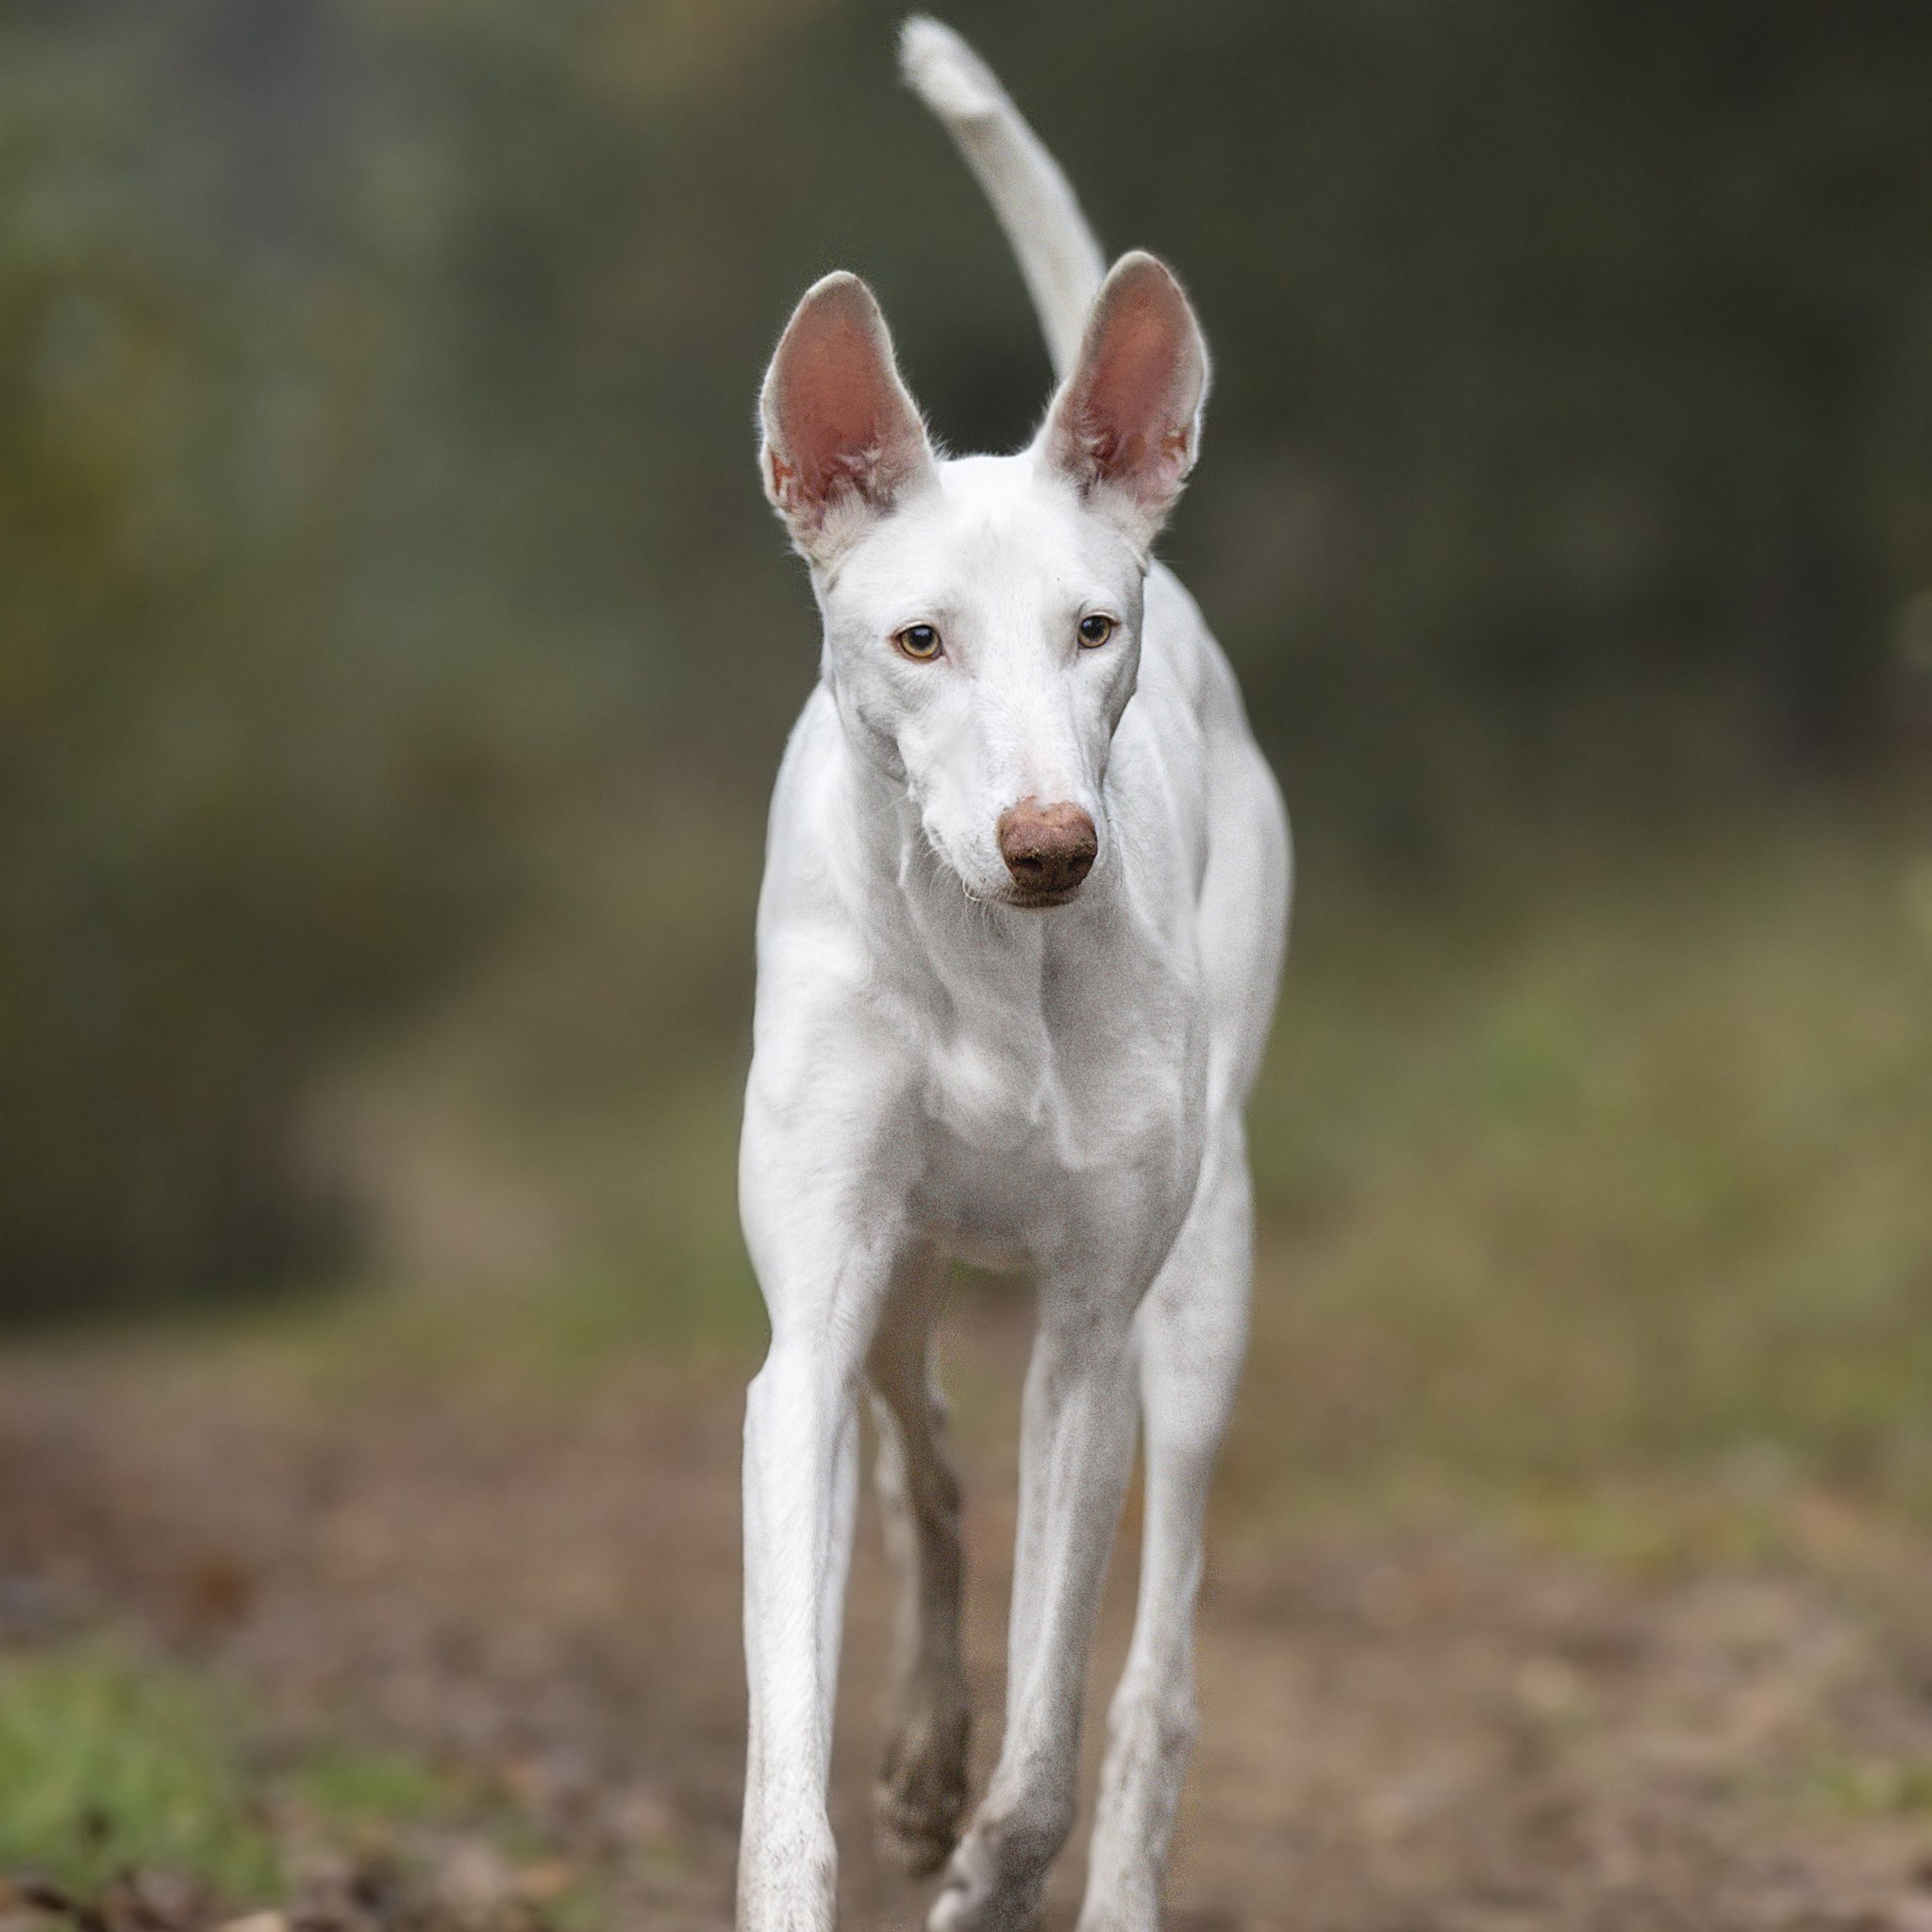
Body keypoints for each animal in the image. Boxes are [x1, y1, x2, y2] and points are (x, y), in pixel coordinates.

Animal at [745, 18, 1291, 1932]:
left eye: (1090, 629)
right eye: (918, 639)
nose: (1054, 843)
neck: (988, 959)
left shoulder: (1091, 1341)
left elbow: (1054, 1749)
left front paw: (991, 1868)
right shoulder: (810, 1316)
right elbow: (785, 1759)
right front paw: (882, 1807)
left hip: (1199, 1303)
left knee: (1156, 1686)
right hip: (900, 1278)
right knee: (920, 1448)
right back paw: (919, 1747)